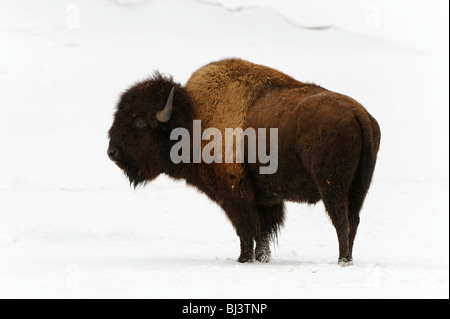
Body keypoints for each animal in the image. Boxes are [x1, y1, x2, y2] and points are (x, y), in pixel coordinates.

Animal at [108, 58, 380, 266]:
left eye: (140, 122)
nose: (112, 152)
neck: (192, 119)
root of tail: (358, 113)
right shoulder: (265, 198)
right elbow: (262, 232)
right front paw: (262, 258)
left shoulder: (235, 196)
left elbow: (246, 230)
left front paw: (244, 259)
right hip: (359, 187)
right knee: (352, 220)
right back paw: (347, 259)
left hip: (332, 186)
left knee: (341, 220)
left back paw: (342, 261)